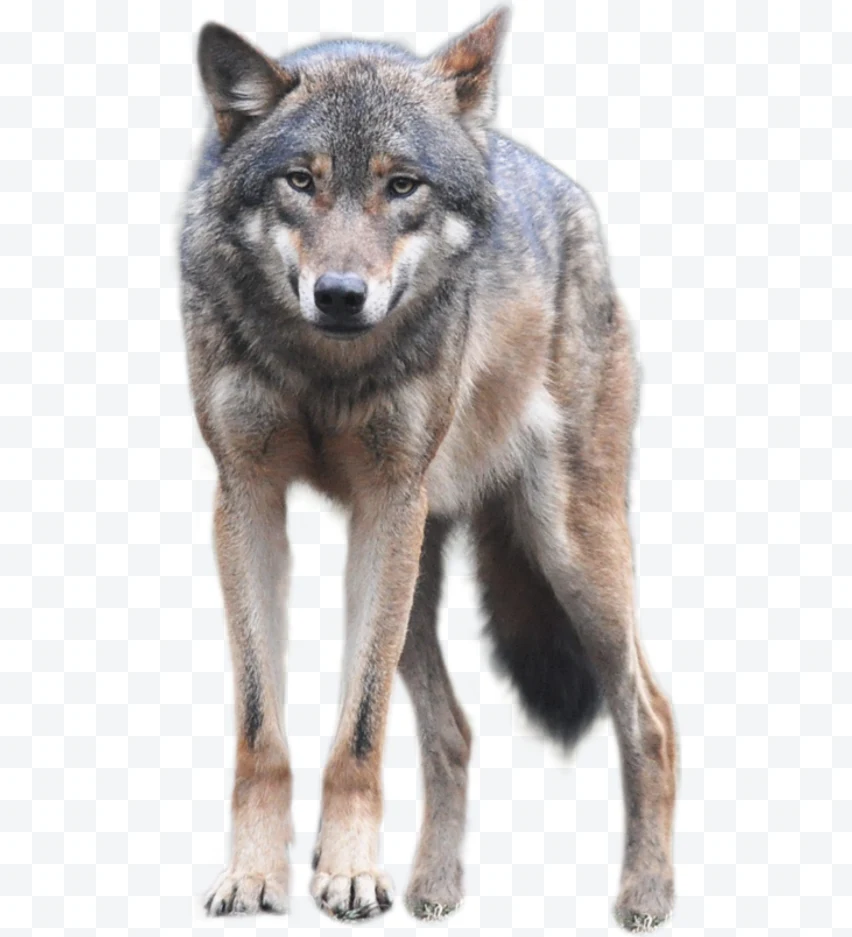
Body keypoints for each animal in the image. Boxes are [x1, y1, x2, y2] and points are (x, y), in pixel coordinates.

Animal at [179, 7, 677, 930]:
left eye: (403, 186)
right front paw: (259, 875)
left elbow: (358, 731)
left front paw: (345, 875)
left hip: (566, 556)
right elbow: (263, 729)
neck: (326, 371)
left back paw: (647, 893)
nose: (340, 294)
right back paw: (433, 887)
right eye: (300, 181)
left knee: (651, 714)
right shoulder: (246, 498)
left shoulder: (386, 503)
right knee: (454, 732)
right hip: (417, 576)